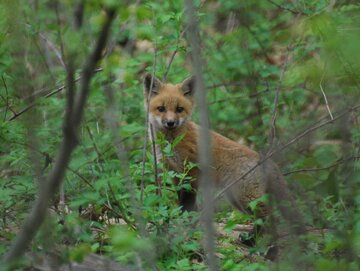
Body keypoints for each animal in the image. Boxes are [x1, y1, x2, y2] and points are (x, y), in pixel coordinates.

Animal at [142, 73, 306, 237]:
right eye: (161, 108)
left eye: (179, 109)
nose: (170, 123)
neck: (172, 141)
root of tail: (265, 160)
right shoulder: (176, 175)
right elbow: (184, 206)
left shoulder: (191, 173)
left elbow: (187, 207)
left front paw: (185, 228)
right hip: (236, 199)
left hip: (245, 197)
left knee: (268, 217)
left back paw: (253, 239)